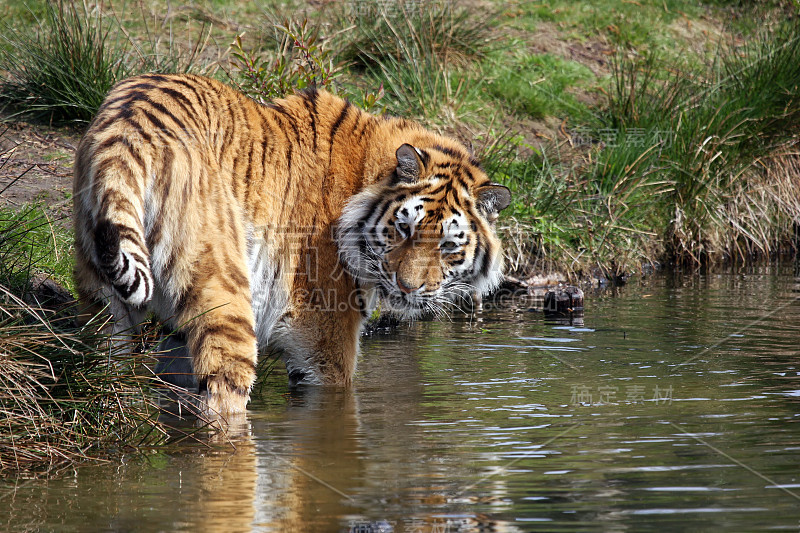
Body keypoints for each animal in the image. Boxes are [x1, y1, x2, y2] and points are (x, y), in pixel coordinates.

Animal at [75, 74, 512, 416]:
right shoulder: (322, 336)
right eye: (404, 230)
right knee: (222, 397)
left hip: (103, 300)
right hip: (225, 295)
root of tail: (130, 128)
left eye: (447, 246)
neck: (366, 177)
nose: (408, 288)